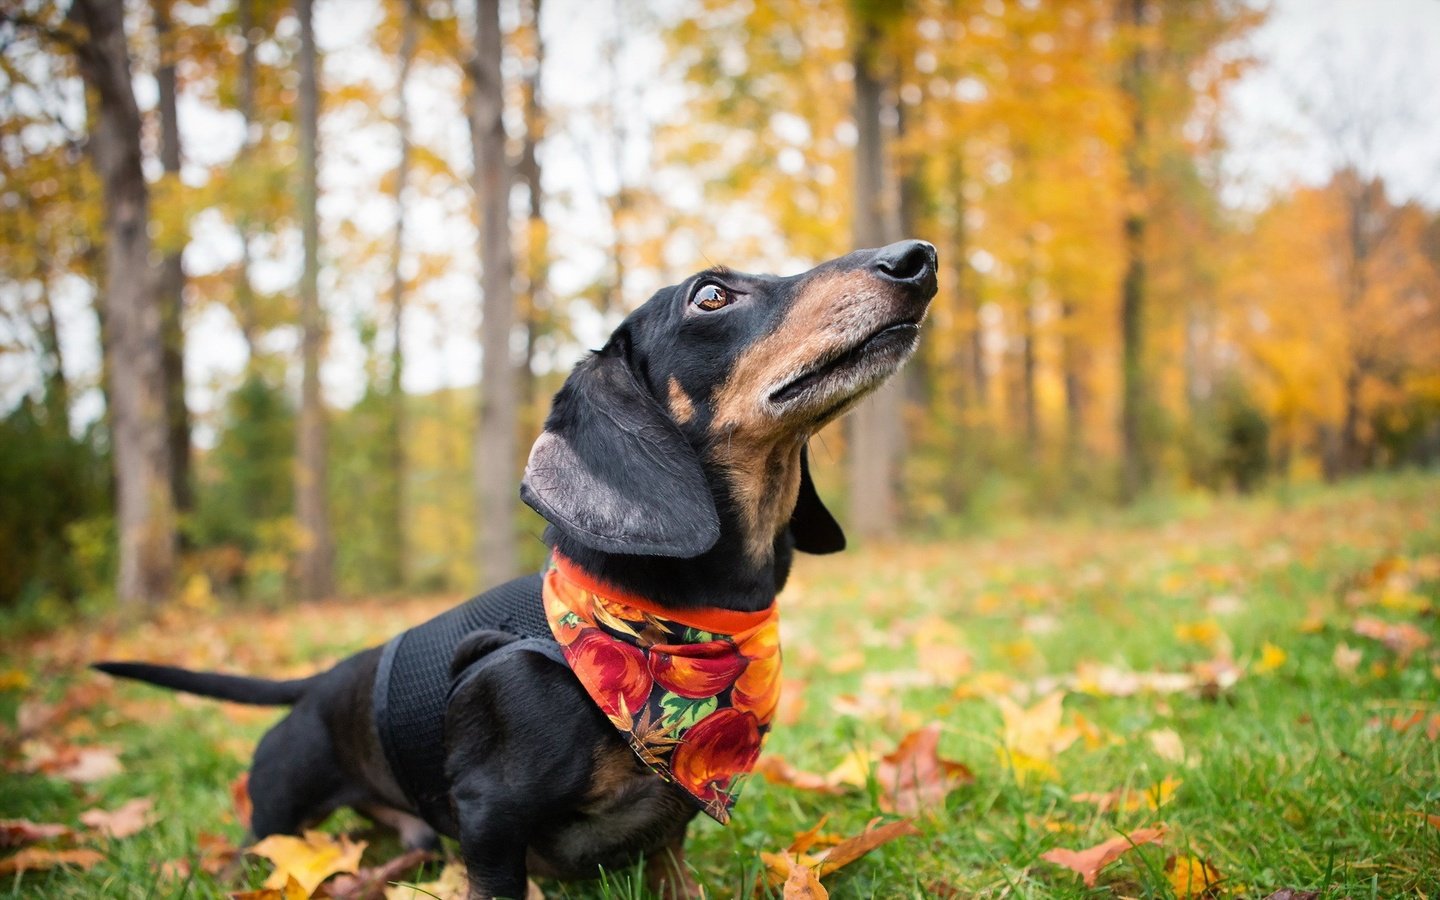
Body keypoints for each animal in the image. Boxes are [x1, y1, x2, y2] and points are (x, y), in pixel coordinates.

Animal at [95, 240, 938, 898]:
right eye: (711, 295)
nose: (917, 258)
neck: (668, 621)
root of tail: (323, 679)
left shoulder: (670, 831)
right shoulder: (491, 818)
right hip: (277, 815)